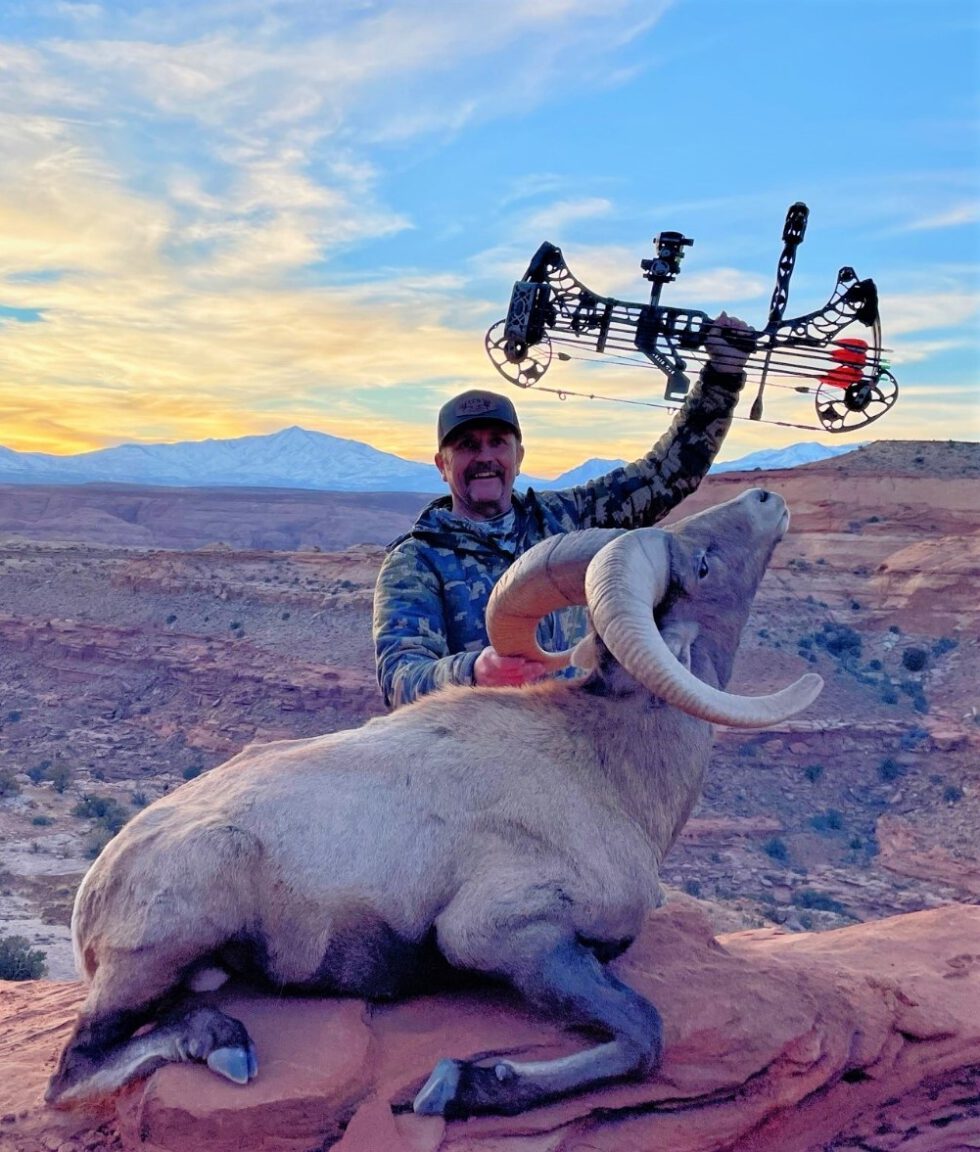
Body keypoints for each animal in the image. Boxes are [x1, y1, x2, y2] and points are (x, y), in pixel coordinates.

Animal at [46, 487, 822, 1118]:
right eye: (704, 565)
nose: (765, 500)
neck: (610, 768)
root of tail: (94, 891)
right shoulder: (505, 934)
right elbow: (644, 1034)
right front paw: (459, 1086)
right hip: (160, 946)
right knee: (74, 1071)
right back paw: (226, 1045)